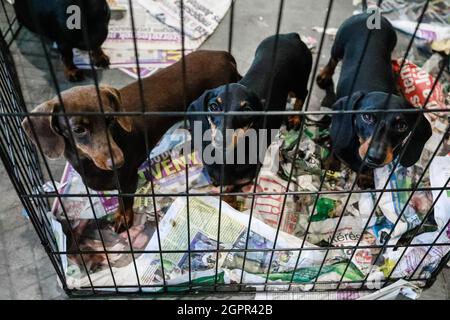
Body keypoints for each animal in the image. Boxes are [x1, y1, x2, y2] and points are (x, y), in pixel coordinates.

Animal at [22, 49, 241, 230]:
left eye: (110, 119)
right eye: (78, 129)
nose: (119, 161)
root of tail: (224, 55)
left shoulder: (128, 180)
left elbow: (125, 200)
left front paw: (123, 218)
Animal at [190, 33, 312, 185]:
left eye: (247, 110)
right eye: (213, 106)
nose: (221, 140)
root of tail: (291, 36)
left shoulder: (246, 181)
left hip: (299, 81)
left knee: (303, 94)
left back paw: (295, 118)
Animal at [316, 13, 432, 171]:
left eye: (402, 126)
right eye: (367, 117)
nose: (375, 158)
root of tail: (371, 13)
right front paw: (331, 163)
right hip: (338, 45)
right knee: (333, 59)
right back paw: (324, 75)